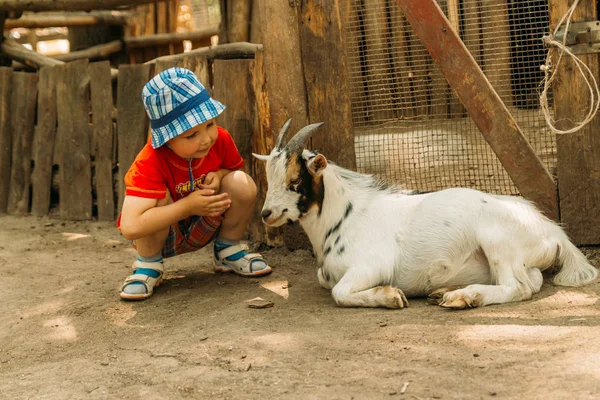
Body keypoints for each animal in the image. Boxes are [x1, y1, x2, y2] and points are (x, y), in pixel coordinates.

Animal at [253, 120, 600, 308]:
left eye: (294, 181)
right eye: (269, 178)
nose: (267, 213)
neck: (344, 216)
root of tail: (553, 232)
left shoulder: (372, 264)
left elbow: (339, 292)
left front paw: (390, 296)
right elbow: (328, 283)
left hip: (498, 241)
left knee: (519, 287)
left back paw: (463, 297)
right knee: (533, 279)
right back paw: (445, 290)